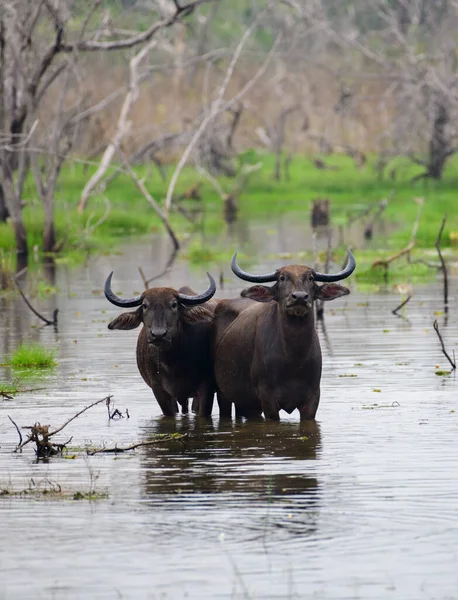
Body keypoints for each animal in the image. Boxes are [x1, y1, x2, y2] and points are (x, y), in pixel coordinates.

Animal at [104, 274, 217, 418]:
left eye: (174, 304)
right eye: (145, 305)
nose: (158, 334)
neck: (173, 363)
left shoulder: (205, 388)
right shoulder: (159, 390)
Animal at [213, 251, 356, 420]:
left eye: (311, 278)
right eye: (282, 278)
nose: (299, 297)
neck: (294, 359)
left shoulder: (313, 397)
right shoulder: (267, 398)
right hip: (223, 393)